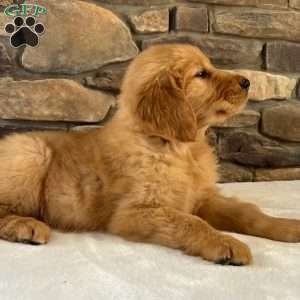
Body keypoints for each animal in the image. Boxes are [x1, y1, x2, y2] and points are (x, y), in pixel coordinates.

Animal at [0, 44, 300, 264]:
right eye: (201, 74)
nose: (247, 81)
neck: (176, 146)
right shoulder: (135, 212)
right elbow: (189, 222)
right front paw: (224, 242)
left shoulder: (203, 197)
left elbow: (247, 212)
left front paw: (287, 226)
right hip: (32, 151)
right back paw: (26, 226)